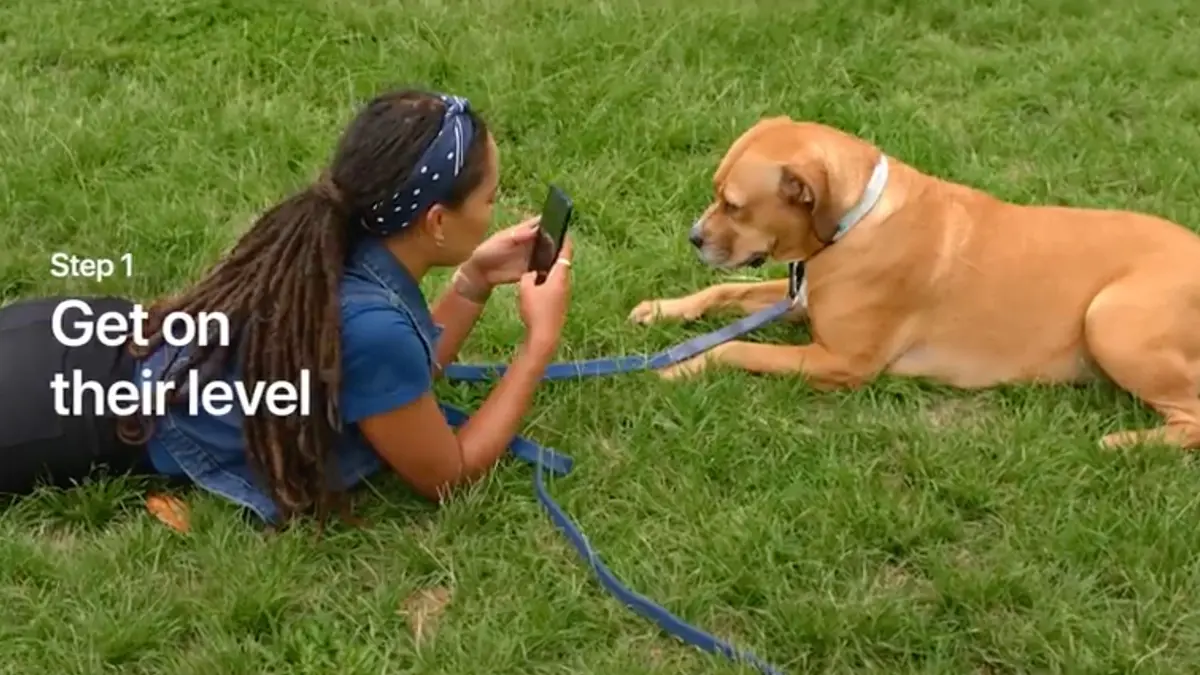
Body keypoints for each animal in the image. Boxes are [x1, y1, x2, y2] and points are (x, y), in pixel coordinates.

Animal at [628, 117, 1200, 449]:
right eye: (716, 193)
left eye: (734, 206)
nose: (694, 237)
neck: (853, 220)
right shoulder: (800, 297)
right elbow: (724, 293)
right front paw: (664, 309)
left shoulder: (839, 362)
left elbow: (735, 349)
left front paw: (683, 365)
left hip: (1109, 318)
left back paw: (1127, 442)